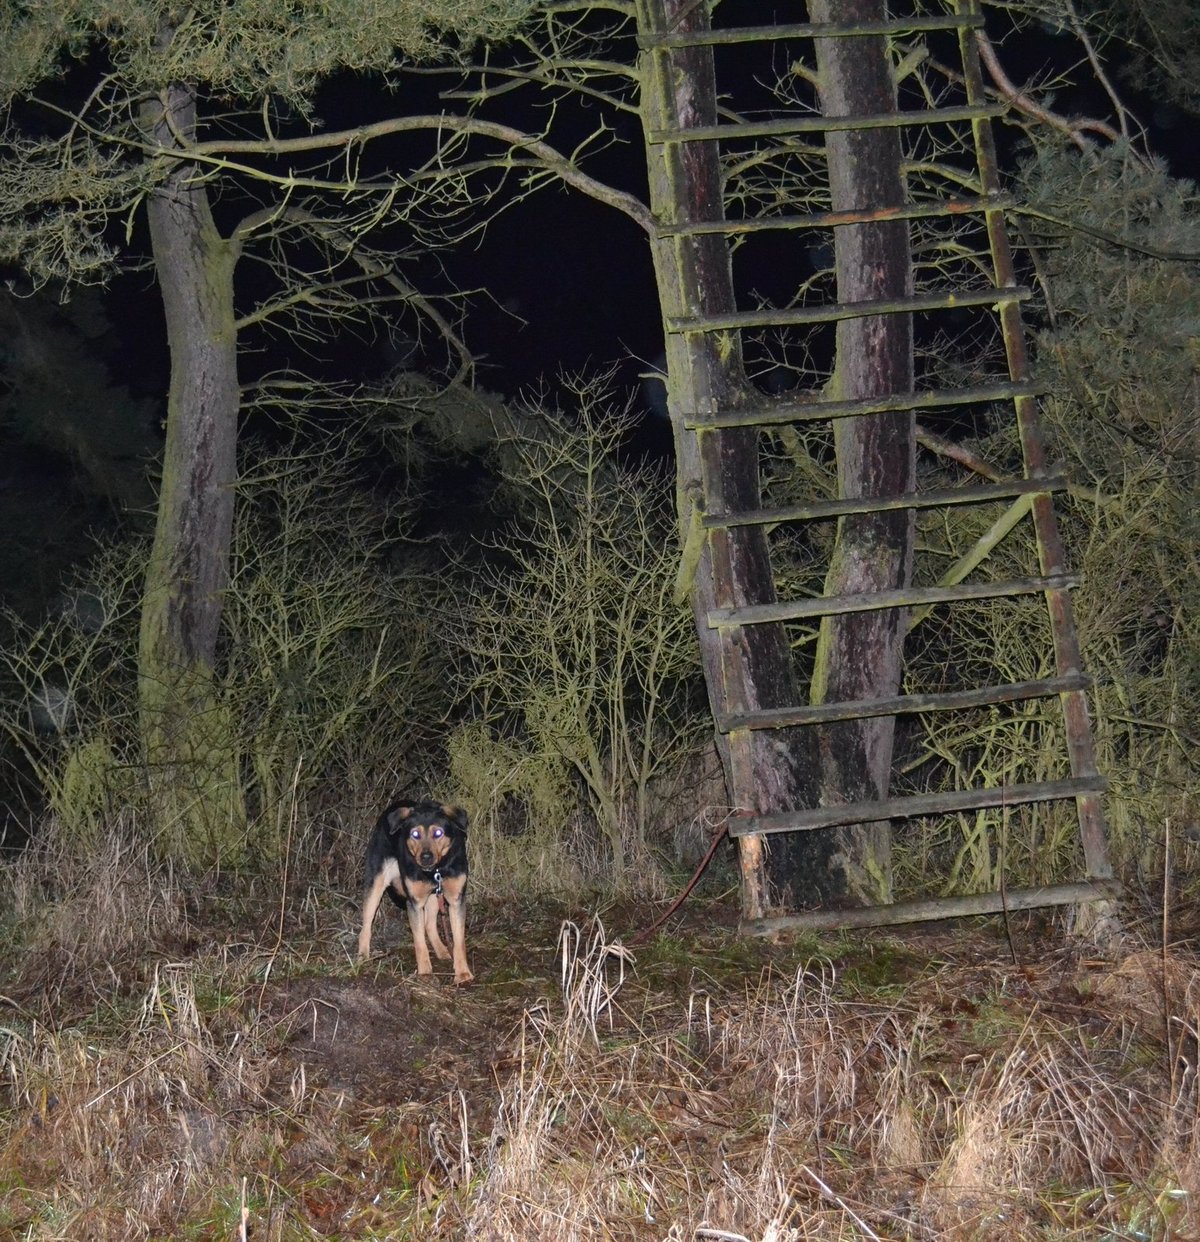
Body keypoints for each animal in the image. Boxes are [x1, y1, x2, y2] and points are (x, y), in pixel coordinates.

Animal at [357, 799, 474, 983]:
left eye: (438, 833)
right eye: (415, 834)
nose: (426, 857)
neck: (436, 870)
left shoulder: (456, 900)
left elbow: (459, 941)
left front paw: (462, 973)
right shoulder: (415, 903)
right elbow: (419, 942)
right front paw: (425, 972)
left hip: (434, 896)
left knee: (429, 924)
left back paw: (441, 950)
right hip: (375, 883)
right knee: (366, 925)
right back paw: (362, 957)